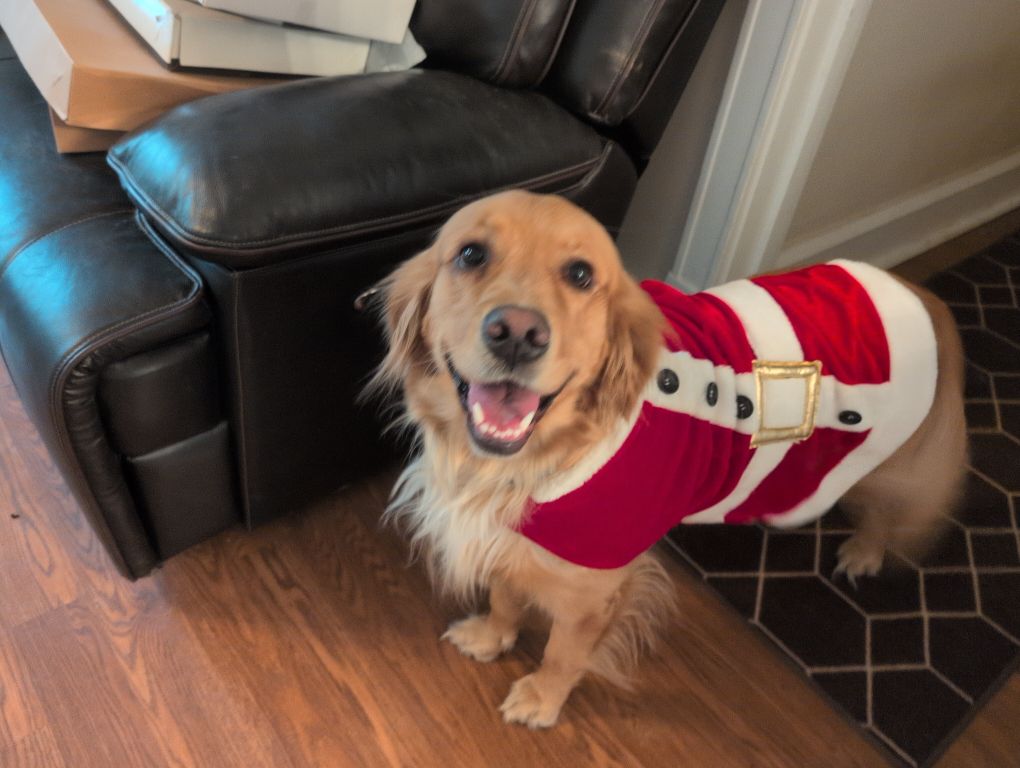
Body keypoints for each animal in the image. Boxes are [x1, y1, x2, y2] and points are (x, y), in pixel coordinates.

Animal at [365, 187, 962, 726]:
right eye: (471, 254)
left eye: (580, 274)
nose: (516, 334)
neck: (530, 460)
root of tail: (924, 298)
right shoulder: (516, 536)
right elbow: (506, 594)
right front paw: (492, 636)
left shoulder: (593, 587)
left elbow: (563, 652)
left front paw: (542, 699)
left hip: (885, 462)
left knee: (886, 508)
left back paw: (865, 551)